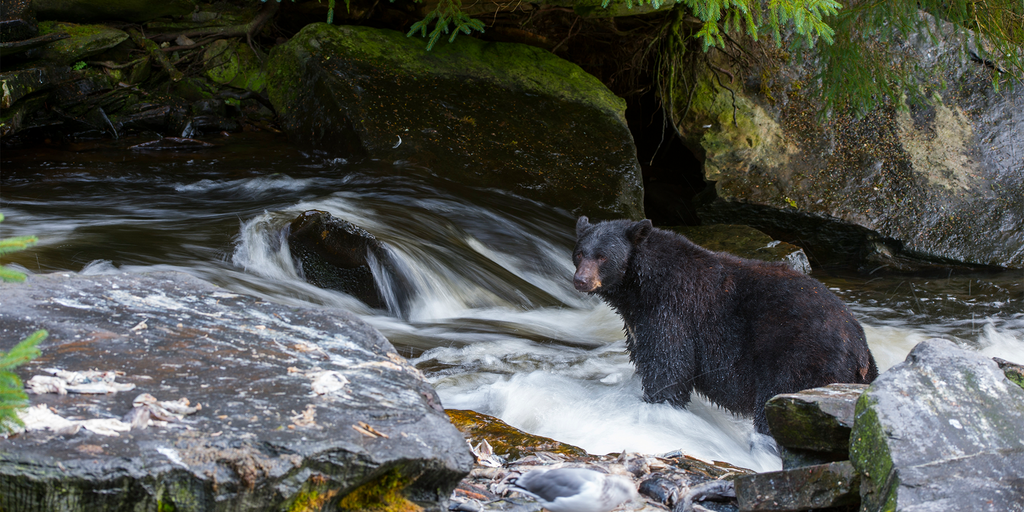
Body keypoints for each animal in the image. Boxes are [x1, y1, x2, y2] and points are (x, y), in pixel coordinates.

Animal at [572, 216, 878, 435]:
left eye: (602, 256)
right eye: (579, 253)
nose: (580, 280)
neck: (642, 287)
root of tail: (859, 348)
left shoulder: (673, 312)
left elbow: (670, 368)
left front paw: (658, 405)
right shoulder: (639, 322)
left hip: (800, 361)